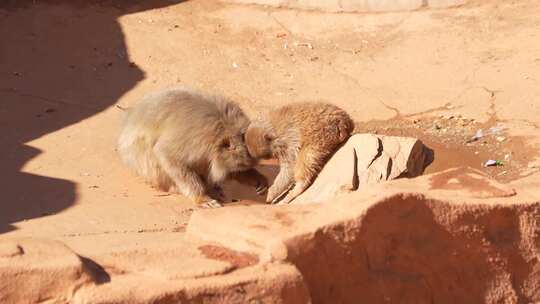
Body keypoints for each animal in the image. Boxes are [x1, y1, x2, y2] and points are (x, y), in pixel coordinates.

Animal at [119, 86, 268, 208]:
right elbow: (167, 155)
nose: (236, 173)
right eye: (239, 166)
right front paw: (201, 197)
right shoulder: (196, 142)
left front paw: (257, 179)